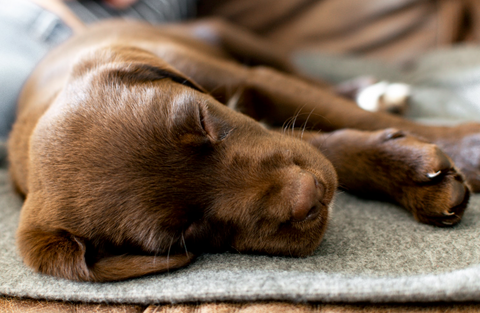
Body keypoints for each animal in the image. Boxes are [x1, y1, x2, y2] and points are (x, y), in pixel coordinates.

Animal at [7, 19, 476, 282]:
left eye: (200, 120)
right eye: (185, 231)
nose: (308, 196)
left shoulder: (253, 81)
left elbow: (341, 121)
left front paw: (465, 148)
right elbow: (329, 146)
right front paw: (413, 175)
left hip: (238, 41)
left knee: (313, 80)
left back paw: (376, 92)